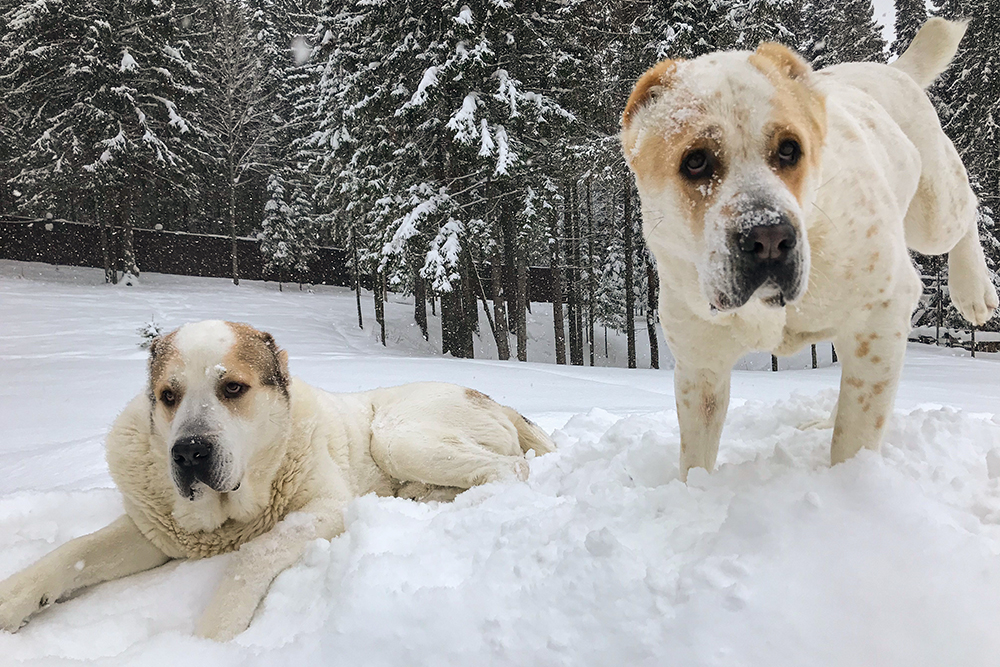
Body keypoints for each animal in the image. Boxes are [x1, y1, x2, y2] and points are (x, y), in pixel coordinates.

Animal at [0, 320, 556, 644]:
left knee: (509, 470)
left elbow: (253, 555)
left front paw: (207, 641)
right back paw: (421, 493)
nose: (190, 451)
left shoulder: (326, 509)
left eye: (232, 388)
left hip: (397, 435)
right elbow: (76, 550)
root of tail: (492, 397)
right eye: (168, 396)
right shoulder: (153, 531)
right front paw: (14, 600)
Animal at [620, 19, 996, 480]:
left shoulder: (881, 314)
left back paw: (974, 292)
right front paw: (695, 492)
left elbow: (855, 434)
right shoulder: (700, 366)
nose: (767, 237)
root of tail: (894, 70)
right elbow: (695, 457)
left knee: (967, 208)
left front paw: (852, 482)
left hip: (933, 211)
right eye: (695, 161)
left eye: (789, 149)